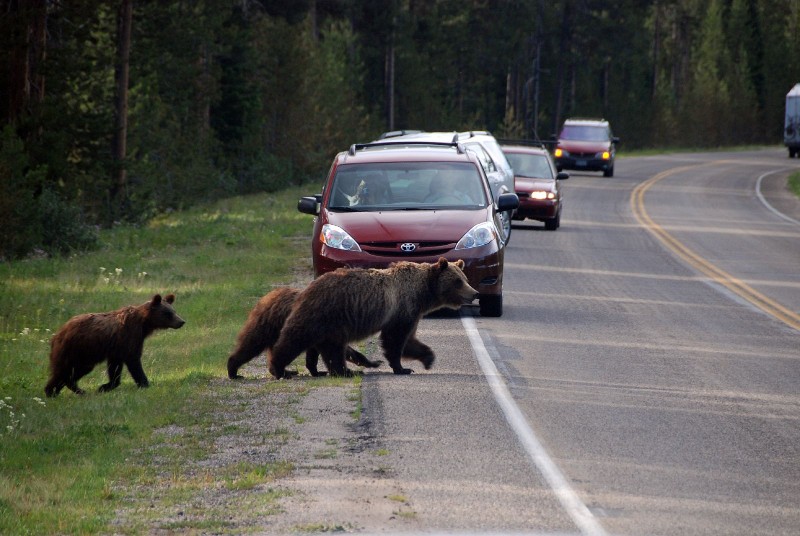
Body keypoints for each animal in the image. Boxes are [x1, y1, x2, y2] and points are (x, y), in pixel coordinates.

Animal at [45, 296, 186, 396]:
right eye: (168, 313)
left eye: (174, 311)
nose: (182, 321)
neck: (144, 324)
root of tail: (58, 334)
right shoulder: (130, 336)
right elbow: (133, 359)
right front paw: (145, 383)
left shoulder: (117, 348)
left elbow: (115, 367)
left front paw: (106, 386)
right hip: (77, 350)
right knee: (68, 370)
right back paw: (64, 390)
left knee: (72, 371)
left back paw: (56, 391)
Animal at [225, 286, 382, 378]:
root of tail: (266, 297)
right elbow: (337, 349)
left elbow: (315, 352)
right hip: (268, 324)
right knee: (252, 343)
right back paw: (234, 370)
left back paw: (286, 371)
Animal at [272, 258, 478, 376]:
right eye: (457, 281)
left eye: (465, 278)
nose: (474, 293)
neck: (422, 294)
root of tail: (307, 288)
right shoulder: (402, 309)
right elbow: (394, 340)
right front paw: (401, 368)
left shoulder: (411, 313)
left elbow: (409, 340)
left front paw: (427, 358)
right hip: (326, 314)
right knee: (299, 340)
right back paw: (282, 368)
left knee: (323, 346)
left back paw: (321, 370)